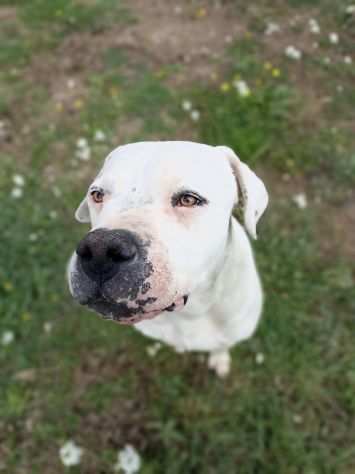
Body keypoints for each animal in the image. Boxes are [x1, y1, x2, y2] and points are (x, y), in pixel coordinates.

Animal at [68, 139, 268, 376]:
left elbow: (222, 346)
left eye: (189, 199)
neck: (191, 312)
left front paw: (220, 360)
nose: (100, 251)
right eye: (97, 195)